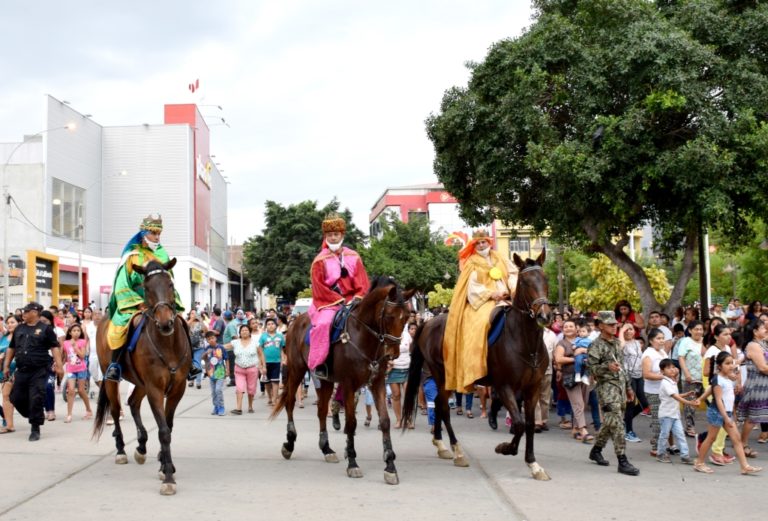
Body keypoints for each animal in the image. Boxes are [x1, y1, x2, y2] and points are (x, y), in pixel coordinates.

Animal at [92, 258, 192, 494]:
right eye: (146, 288)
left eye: (170, 285)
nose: (165, 323)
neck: (168, 345)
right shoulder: (155, 388)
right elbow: (163, 431)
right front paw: (168, 477)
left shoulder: (177, 389)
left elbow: (169, 427)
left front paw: (165, 464)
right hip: (112, 379)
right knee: (116, 410)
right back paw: (121, 450)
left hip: (141, 383)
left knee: (133, 403)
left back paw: (141, 445)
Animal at [272, 276, 414, 484]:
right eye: (389, 316)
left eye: (406, 317)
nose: (392, 353)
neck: (363, 337)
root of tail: (297, 320)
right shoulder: (348, 384)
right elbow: (351, 423)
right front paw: (353, 462)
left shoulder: (377, 382)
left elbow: (385, 421)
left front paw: (390, 466)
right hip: (297, 370)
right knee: (290, 402)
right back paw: (289, 443)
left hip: (325, 380)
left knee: (322, 411)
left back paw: (326, 448)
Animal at [402, 250, 552, 482]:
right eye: (525, 282)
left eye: (545, 279)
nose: (544, 315)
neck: (524, 342)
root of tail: (429, 322)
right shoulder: (504, 387)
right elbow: (518, 423)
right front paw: (505, 448)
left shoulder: (532, 388)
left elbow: (527, 424)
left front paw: (534, 465)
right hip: (443, 374)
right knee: (443, 406)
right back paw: (457, 451)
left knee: (439, 404)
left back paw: (441, 445)